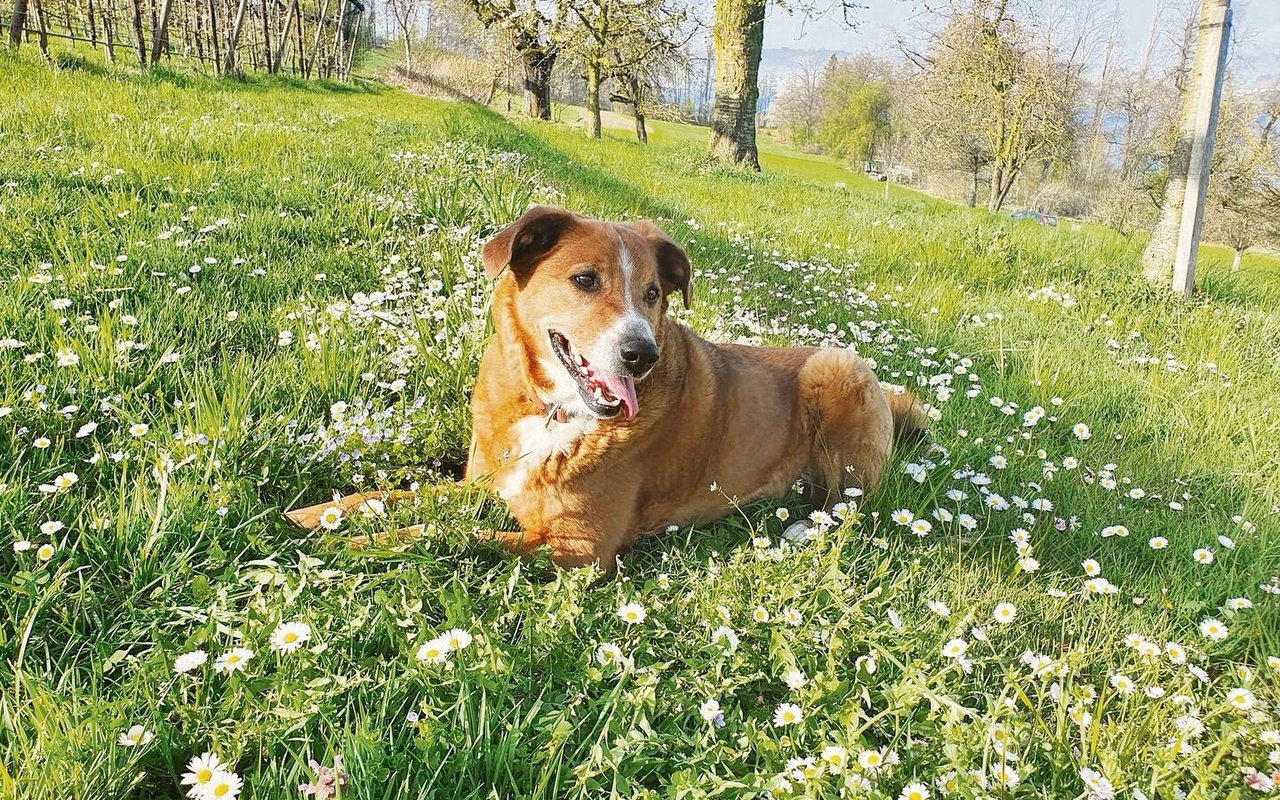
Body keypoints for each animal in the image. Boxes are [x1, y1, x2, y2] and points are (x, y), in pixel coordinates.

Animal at [288, 206, 931, 568]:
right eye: (584, 280)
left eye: (652, 294)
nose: (641, 355)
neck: (554, 410)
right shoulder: (481, 485)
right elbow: (390, 497)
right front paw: (309, 516)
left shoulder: (580, 546)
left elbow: (448, 536)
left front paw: (351, 546)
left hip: (840, 369)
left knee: (853, 505)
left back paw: (802, 526)